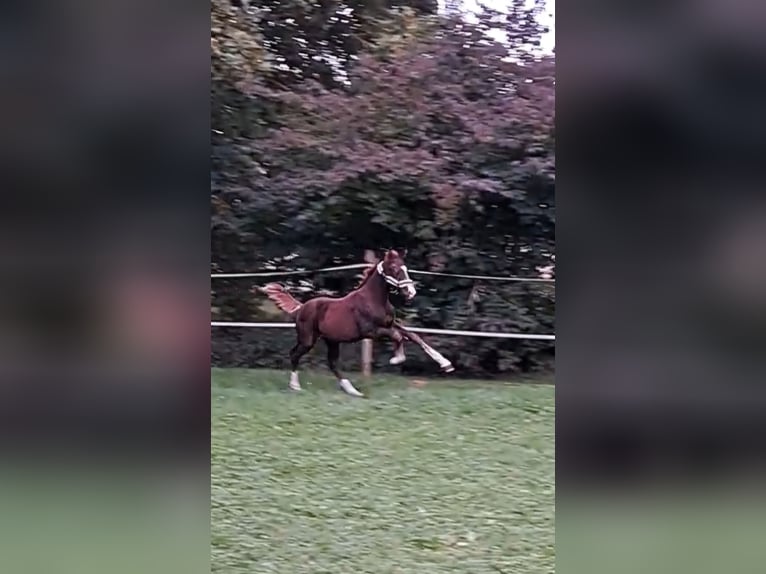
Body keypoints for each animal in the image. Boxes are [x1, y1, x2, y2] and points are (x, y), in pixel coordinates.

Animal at [264, 250, 456, 398]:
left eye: (405, 268)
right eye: (394, 268)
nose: (411, 292)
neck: (374, 300)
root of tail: (301, 307)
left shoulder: (390, 324)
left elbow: (414, 336)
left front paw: (446, 364)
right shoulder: (371, 331)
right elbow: (398, 336)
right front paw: (396, 359)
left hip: (332, 341)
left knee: (332, 363)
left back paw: (352, 391)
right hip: (308, 339)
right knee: (295, 355)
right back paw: (295, 386)